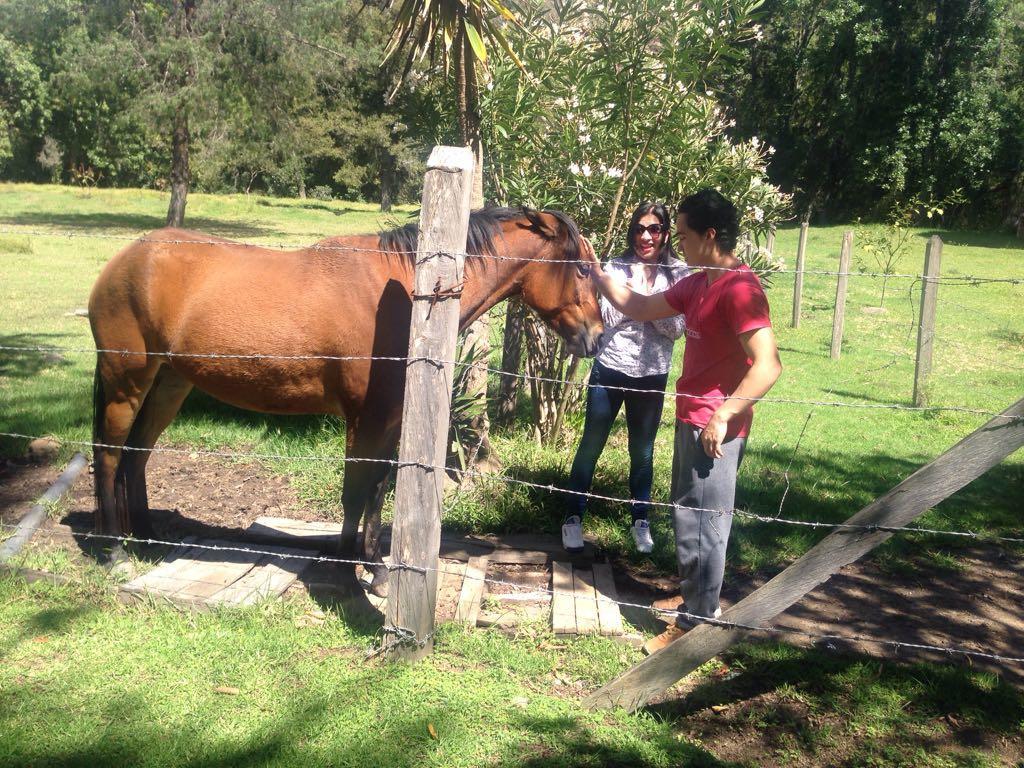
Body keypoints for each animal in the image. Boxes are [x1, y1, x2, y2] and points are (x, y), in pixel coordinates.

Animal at [92, 207, 602, 593]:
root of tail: (126, 259)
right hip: (126, 383)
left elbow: (376, 489)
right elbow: (355, 491)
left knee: (137, 455)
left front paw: (373, 568)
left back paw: (147, 539)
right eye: (581, 268)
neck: (408, 292)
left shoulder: (391, 421)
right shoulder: (365, 419)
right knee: (110, 455)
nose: (596, 338)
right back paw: (114, 550)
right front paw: (347, 568)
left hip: (169, 385)